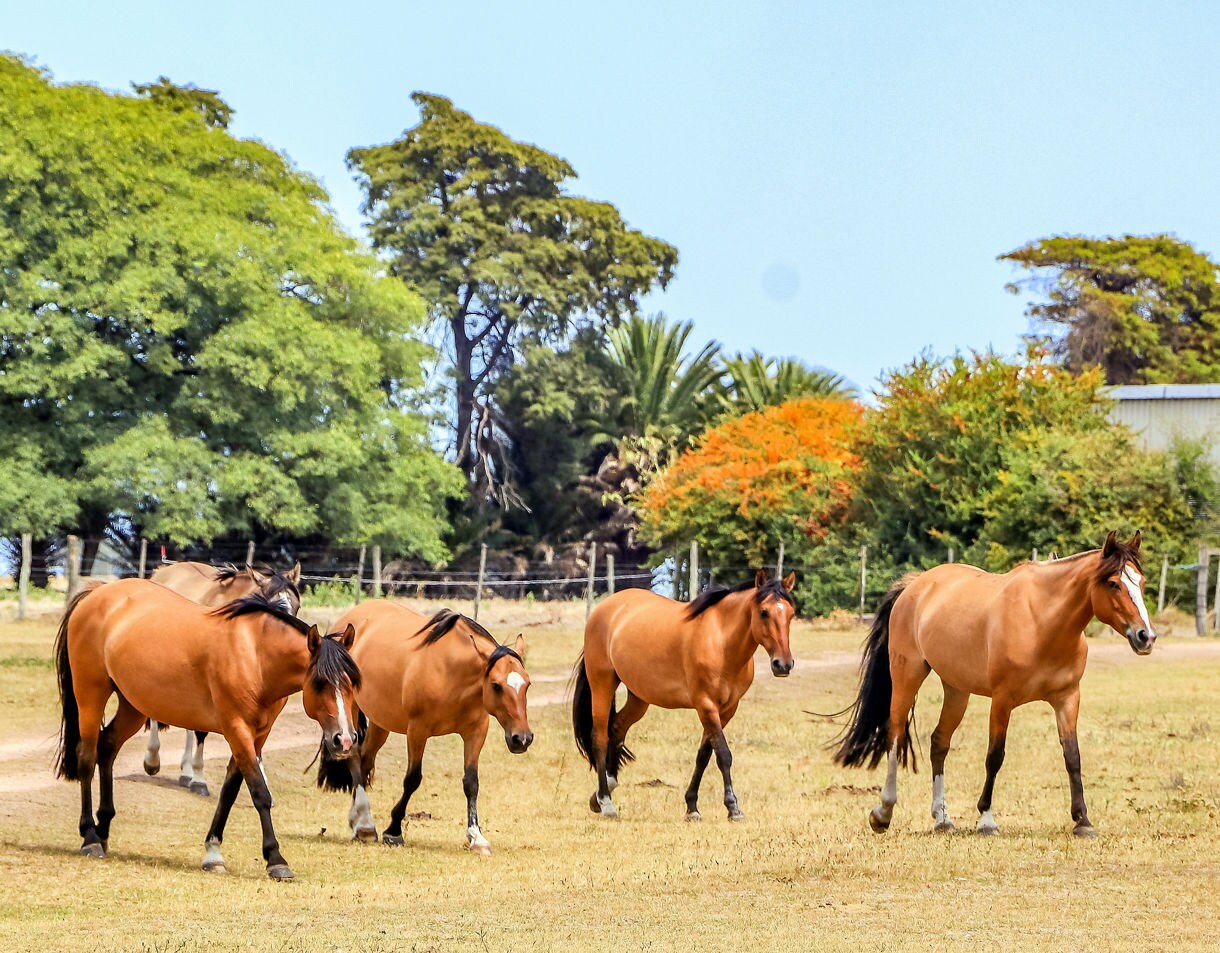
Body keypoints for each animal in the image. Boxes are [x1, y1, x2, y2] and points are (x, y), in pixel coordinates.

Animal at [144, 561, 303, 794]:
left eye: (296, 606)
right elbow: (202, 732)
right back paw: (153, 760)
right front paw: (199, 779)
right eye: (272, 607)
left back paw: (185, 771)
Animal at [315, 602, 533, 855]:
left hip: (381, 723)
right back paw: (365, 826)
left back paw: (360, 820)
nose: (522, 738)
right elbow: (412, 779)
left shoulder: (476, 731)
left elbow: (471, 782)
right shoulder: (417, 731)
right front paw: (394, 830)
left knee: (365, 760)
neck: (451, 674)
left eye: (527, 684)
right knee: (354, 756)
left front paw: (476, 837)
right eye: (496, 685)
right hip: (349, 711)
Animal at [573, 569, 797, 821]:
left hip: (639, 697)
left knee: (617, 729)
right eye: (764, 612)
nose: (783, 664)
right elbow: (723, 755)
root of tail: (606, 607)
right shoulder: (706, 705)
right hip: (602, 684)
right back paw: (605, 801)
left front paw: (692, 807)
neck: (721, 641)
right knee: (600, 737)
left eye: (791, 614)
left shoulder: (727, 709)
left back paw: (605, 790)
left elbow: (704, 756)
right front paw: (733, 808)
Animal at [833, 531, 1156, 838]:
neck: (1042, 621)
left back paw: (942, 819)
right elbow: (995, 756)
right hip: (907, 676)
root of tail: (916, 585)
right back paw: (883, 813)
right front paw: (986, 819)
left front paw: (1083, 821)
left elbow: (1072, 757)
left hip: (957, 689)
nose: (1146, 637)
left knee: (939, 742)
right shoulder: (1002, 700)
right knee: (895, 735)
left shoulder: (1067, 699)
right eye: (1113, 583)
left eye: (1141, 582)